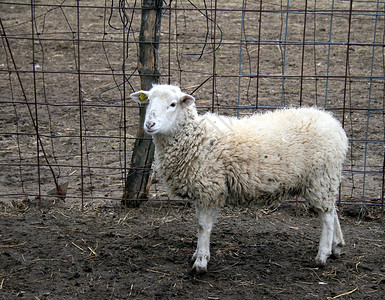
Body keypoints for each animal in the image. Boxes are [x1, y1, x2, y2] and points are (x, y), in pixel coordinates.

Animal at [130, 83, 348, 274]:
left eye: (173, 104)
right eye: (148, 101)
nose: (149, 124)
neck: (194, 137)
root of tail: (335, 125)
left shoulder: (210, 188)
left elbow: (203, 227)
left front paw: (201, 262)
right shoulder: (202, 191)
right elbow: (200, 224)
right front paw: (197, 254)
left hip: (320, 176)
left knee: (327, 216)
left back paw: (322, 255)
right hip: (326, 179)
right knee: (332, 210)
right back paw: (337, 246)